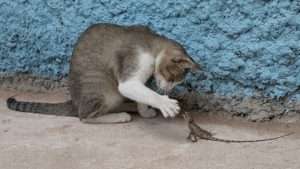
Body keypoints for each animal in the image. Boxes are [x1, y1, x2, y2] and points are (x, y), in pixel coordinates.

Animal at [7, 23, 199, 123]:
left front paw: (145, 111)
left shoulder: (138, 80)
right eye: (172, 78)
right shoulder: (129, 76)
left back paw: (128, 108)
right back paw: (120, 116)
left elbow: (142, 95)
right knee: (84, 116)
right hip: (104, 90)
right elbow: (145, 92)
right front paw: (164, 103)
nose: (167, 90)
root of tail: (74, 103)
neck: (152, 43)